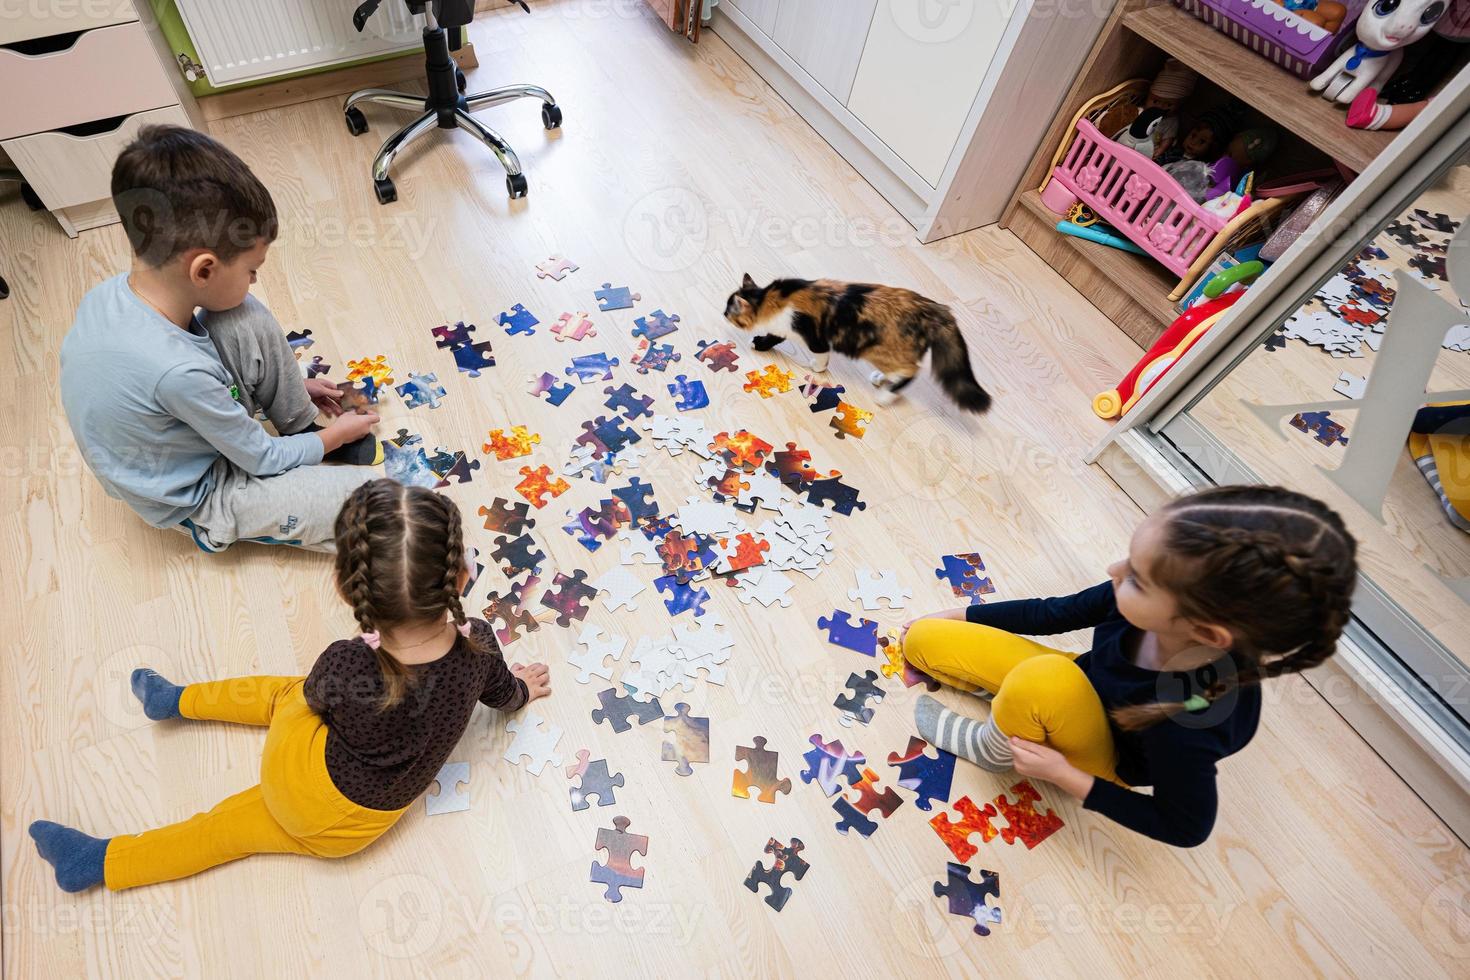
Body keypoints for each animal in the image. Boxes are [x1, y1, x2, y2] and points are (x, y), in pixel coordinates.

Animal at [720, 276, 993, 414]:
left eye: (729, 310)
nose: (722, 313)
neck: (770, 298)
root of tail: (933, 309)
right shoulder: (784, 328)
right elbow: (774, 336)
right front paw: (762, 342)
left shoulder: (813, 335)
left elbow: (819, 356)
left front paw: (815, 367)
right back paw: (880, 379)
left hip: (879, 350)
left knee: (911, 371)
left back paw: (885, 396)